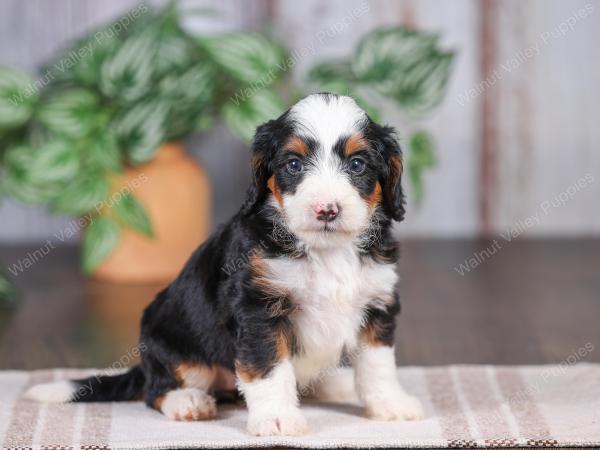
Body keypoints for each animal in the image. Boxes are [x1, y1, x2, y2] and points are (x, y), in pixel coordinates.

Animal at [25, 94, 424, 436]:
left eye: (357, 164)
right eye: (294, 164)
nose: (327, 209)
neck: (325, 250)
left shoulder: (377, 304)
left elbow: (377, 365)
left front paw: (389, 403)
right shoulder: (258, 310)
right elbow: (269, 369)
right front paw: (277, 418)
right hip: (172, 345)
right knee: (157, 389)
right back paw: (187, 402)